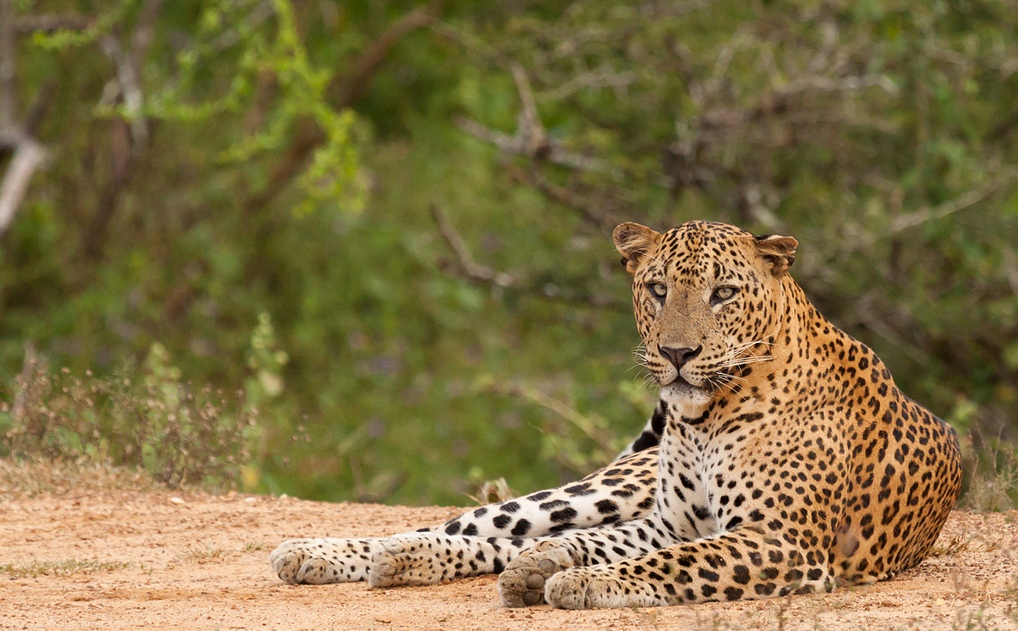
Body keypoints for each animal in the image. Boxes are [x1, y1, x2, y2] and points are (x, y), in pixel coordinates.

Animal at [270, 219, 962, 611]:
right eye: (658, 289)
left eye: (723, 293)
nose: (678, 354)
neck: (704, 421)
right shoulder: (672, 523)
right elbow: (623, 549)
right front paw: (563, 571)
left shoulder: (779, 539)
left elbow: (669, 563)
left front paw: (572, 581)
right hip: (594, 491)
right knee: (473, 526)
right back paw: (328, 552)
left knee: (500, 541)